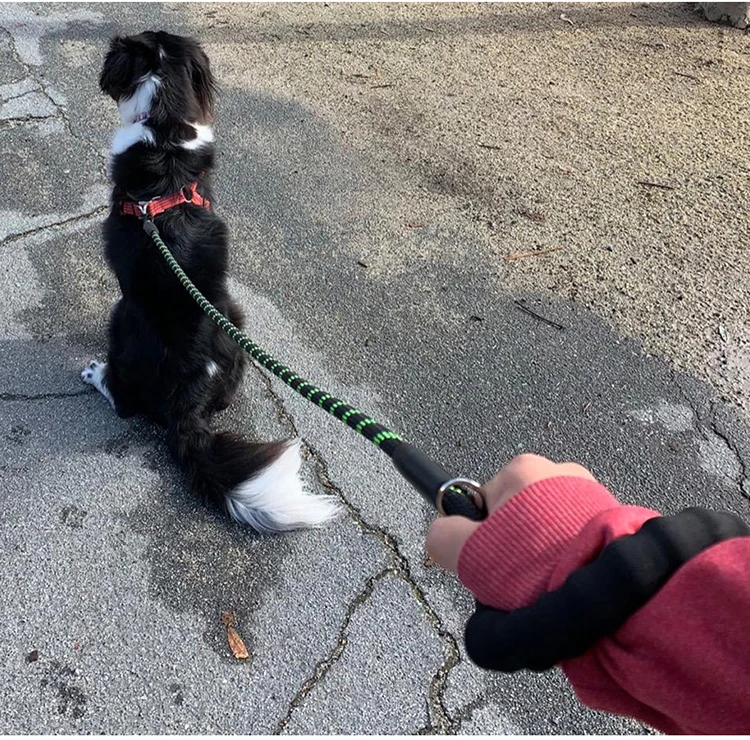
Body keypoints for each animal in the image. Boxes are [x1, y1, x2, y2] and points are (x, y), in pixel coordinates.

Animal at [82, 30, 340, 532]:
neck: (163, 127)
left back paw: (94, 373)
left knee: (123, 399)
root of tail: (189, 391)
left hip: (123, 317)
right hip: (234, 321)